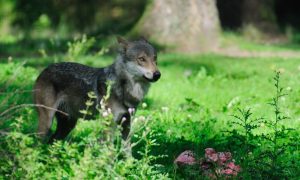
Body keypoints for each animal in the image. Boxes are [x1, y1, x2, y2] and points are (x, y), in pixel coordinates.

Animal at [33, 37, 161, 143]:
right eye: (142, 59)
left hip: (67, 126)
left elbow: (128, 154)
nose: (157, 74)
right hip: (47, 123)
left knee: (52, 142)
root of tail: (44, 70)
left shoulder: (126, 126)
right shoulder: (108, 125)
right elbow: (109, 154)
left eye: (155, 59)